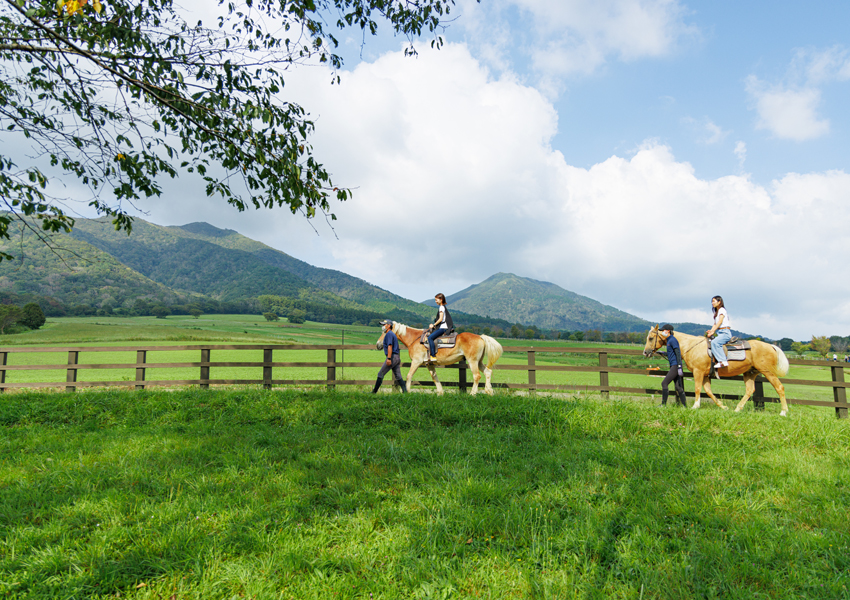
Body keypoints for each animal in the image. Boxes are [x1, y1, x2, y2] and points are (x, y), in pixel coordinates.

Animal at [644, 324, 788, 418]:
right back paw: (737, 409)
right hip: (750, 373)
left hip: (768, 372)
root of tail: (771, 346)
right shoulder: (706, 375)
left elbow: (697, 389)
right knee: (749, 390)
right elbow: (708, 391)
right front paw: (723, 406)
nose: (645, 352)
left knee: (780, 387)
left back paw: (783, 412)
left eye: (651, 338)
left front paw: (695, 406)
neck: (691, 345)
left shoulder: (698, 372)